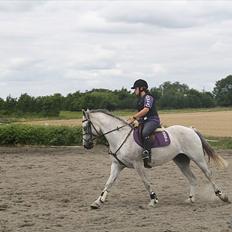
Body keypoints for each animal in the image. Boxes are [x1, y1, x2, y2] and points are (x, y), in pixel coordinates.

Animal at [82, 109, 230, 208]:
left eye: (85, 126)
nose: (86, 145)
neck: (120, 136)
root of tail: (190, 129)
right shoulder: (117, 165)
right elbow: (109, 183)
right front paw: (97, 201)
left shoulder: (138, 164)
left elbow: (146, 182)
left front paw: (153, 200)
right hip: (181, 161)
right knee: (192, 178)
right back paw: (191, 199)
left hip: (197, 158)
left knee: (208, 174)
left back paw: (222, 196)